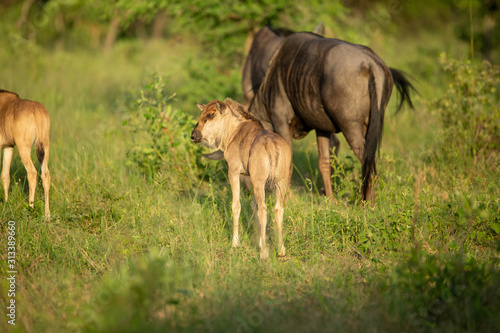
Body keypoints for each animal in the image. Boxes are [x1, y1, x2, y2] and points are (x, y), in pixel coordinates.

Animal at [191, 97, 292, 258]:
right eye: (201, 114)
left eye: (211, 115)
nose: (194, 135)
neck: (234, 131)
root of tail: (272, 144)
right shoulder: (252, 179)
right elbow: (253, 206)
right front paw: (258, 242)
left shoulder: (233, 173)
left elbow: (236, 206)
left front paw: (235, 242)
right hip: (280, 182)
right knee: (278, 209)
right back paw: (281, 249)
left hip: (260, 183)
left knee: (264, 209)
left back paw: (264, 253)